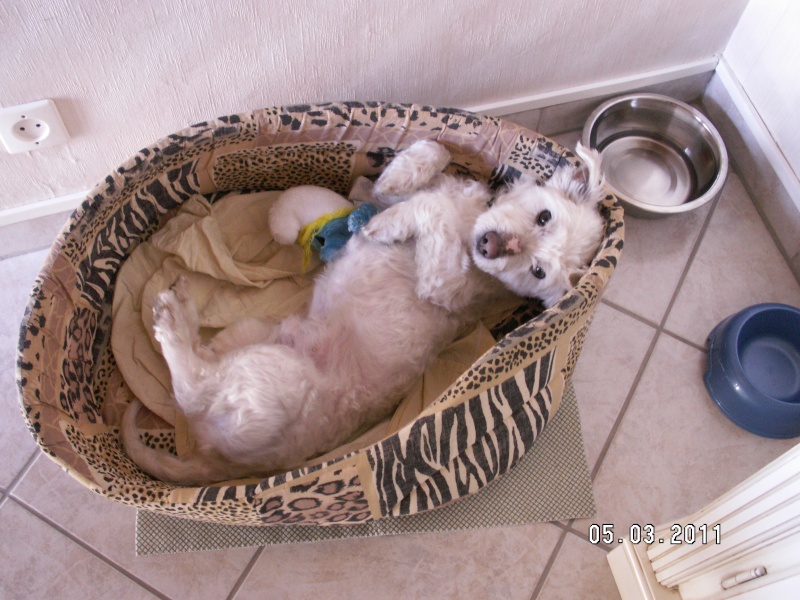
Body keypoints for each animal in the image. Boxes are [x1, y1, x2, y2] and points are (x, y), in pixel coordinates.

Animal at [122, 139, 604, 482]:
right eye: (544, 216)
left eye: (538, 271)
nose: (492, 246)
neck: (472, 220)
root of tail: (219, 463)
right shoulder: (390, 193)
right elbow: (431, 156)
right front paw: (403, 170)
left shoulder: (443, 284)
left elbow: (429, 211)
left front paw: (387, 225)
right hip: (256, 332)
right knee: (207, 367)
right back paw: (187, 316)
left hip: (279, 378)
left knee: (191, 387)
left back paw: (171, 321)